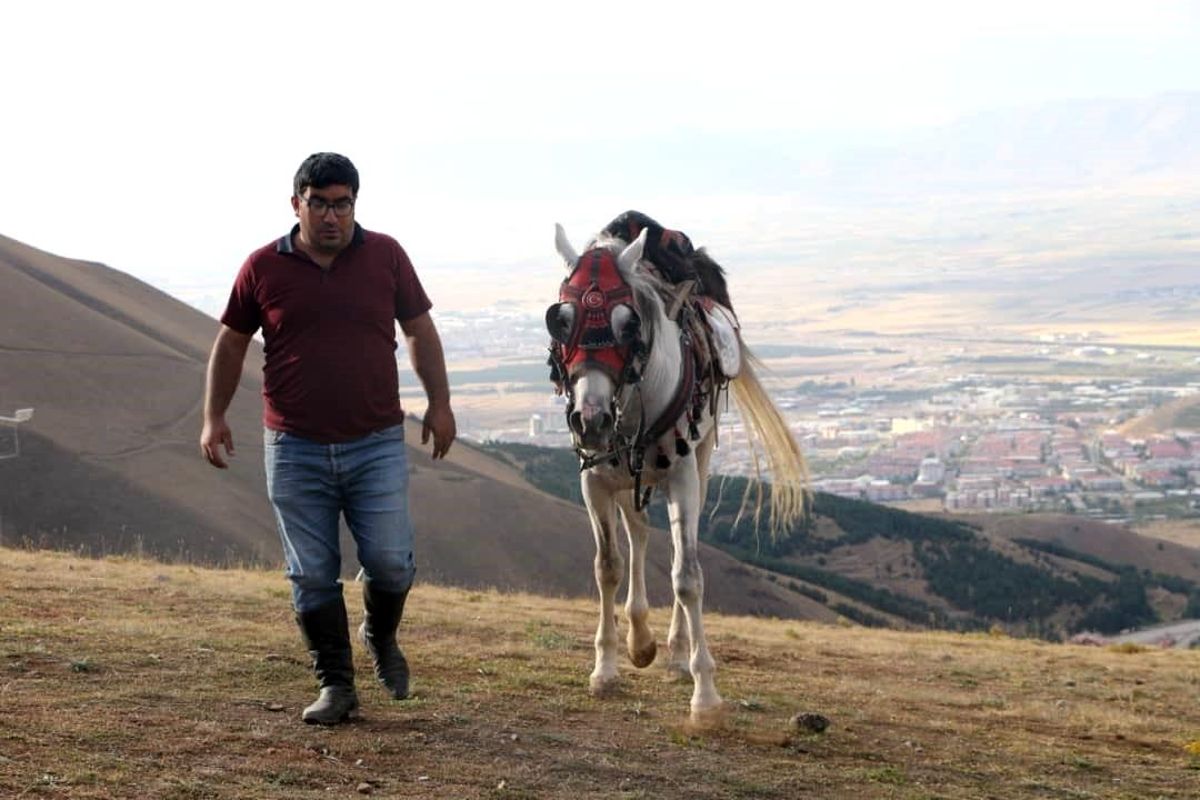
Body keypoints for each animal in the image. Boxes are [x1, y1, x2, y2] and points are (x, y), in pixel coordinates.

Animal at [549, 221, 811, 724]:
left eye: (628, 323)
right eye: (560, 319)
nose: (590, 420)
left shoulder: (683, 479)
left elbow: (687, 577)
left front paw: (704, 693)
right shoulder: (594, 481)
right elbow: (607, 566)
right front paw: (605, 668)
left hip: (698, 460)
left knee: (673, 547)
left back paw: (673, 651)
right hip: (626, 474)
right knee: (638, 532)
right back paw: (640, 638)